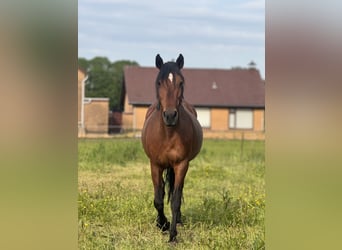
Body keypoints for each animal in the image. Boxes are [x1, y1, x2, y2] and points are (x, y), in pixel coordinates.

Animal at [142, 53, 203, 242]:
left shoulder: (181, 164)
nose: (170, 115)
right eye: (158, 82)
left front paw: (173, 236)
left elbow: (175, 200)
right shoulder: (155, 165)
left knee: (178, 192)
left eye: (181, 82)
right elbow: (158, 199)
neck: (167, 133)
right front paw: (163, 224)